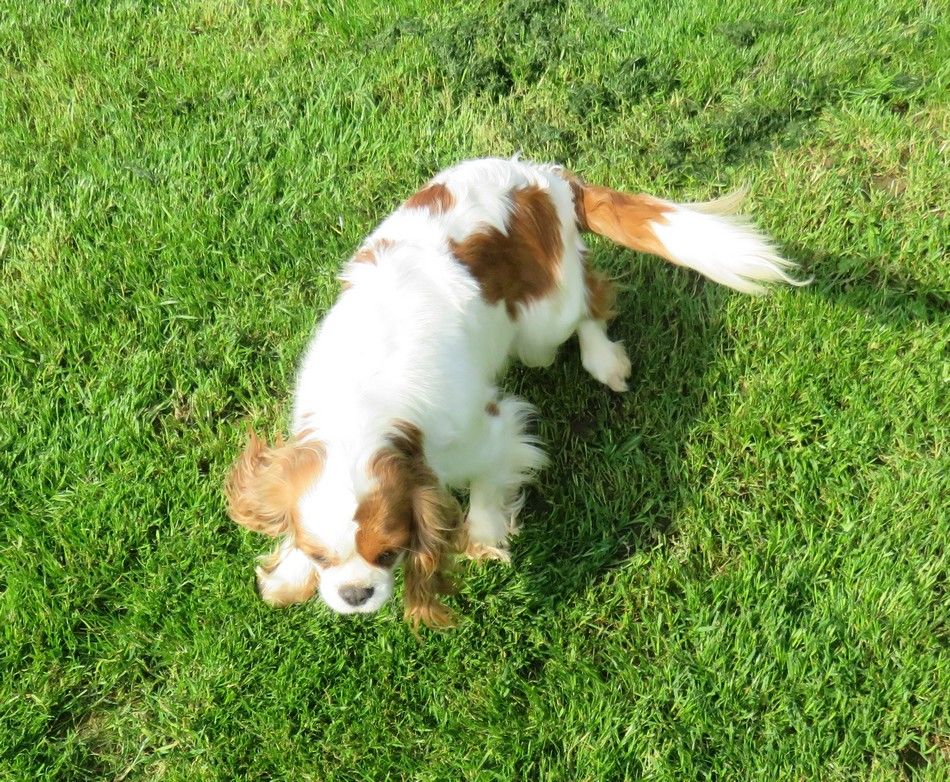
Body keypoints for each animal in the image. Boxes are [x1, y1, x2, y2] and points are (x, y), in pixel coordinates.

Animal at [225, 157, 803, 627]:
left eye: (390, 553)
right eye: (321, 557)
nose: (355, 594)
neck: (362, 411)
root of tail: (546, 178)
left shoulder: (487, 432)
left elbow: (489, 478)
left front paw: (482, 537)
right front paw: (289, 575)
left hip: (542, 319)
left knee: (587, 304)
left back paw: (604, 359)